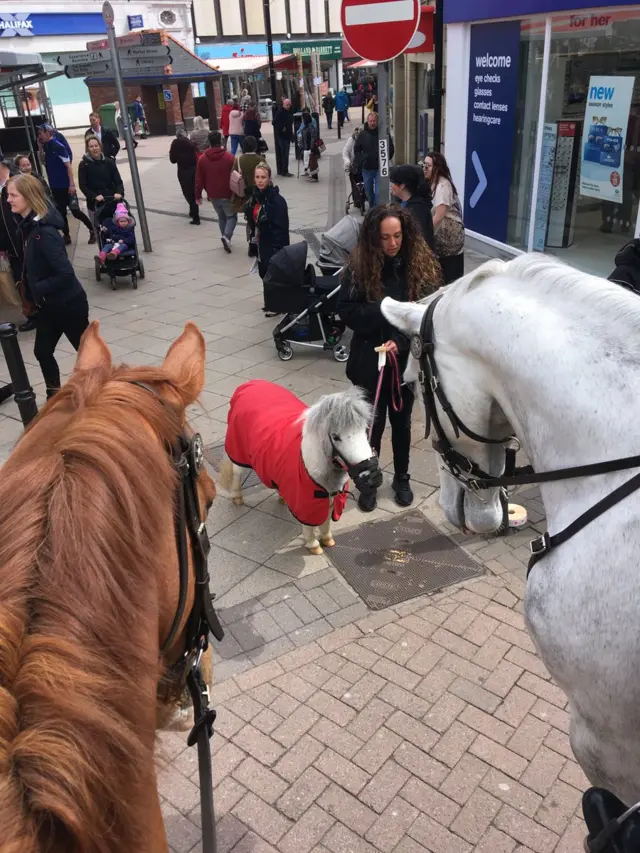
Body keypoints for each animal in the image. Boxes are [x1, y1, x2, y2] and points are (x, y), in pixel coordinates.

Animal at [220, 380, 380, 552]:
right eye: (336, 437)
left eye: (365, 429)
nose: (370, 475)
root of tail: (250, 383)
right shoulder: (306, 501)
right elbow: (309, 525)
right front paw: (313, 544)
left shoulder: (330, 497)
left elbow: (325, 522)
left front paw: (327, 539)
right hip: (240, 453)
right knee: (237, 471)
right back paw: (237, 497)